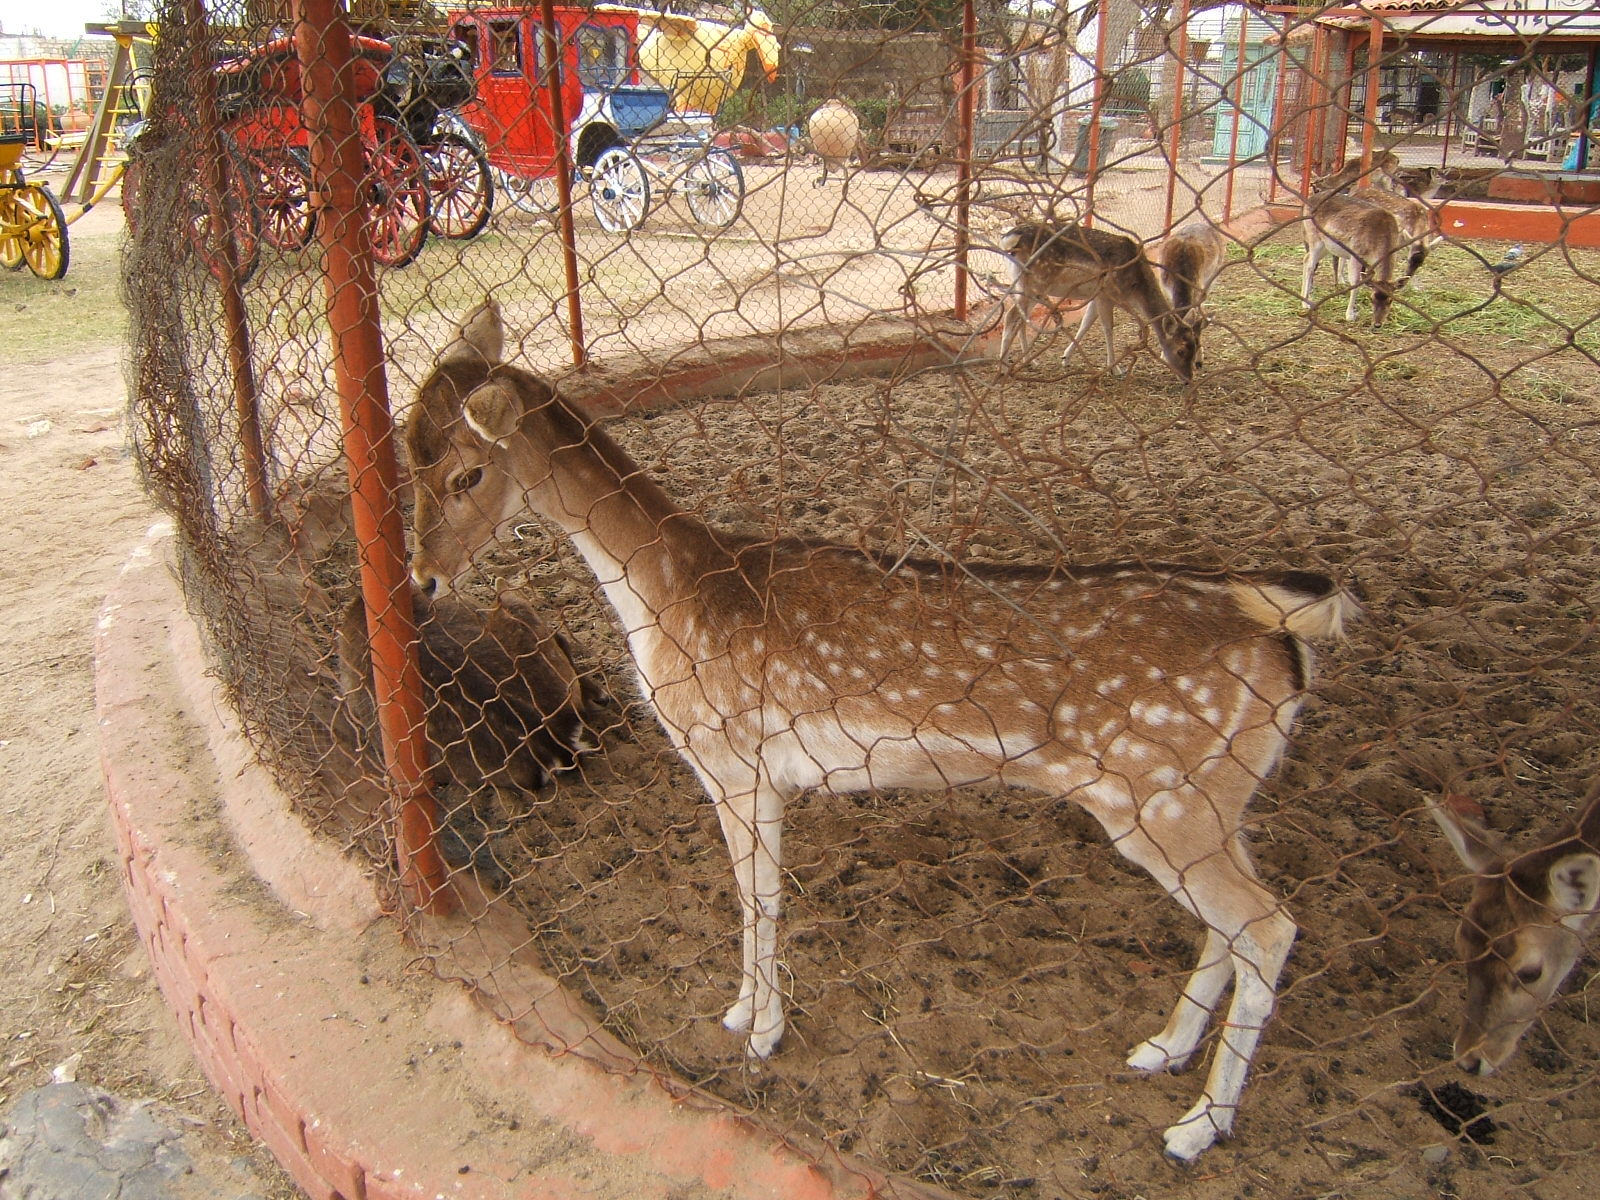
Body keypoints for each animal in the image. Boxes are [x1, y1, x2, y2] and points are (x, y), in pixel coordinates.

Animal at [406, 299, 1359, 1162]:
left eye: (465, 475)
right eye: (403, 459)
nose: (420, 579)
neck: (663, 597)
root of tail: (1283, 633)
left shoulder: (732, 758)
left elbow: (757, 897)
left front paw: (759, 1031)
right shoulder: (758, 773)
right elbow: (760, 895)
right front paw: (745, 1014)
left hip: (1161, 800)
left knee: (1270, 927)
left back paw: (1197, 1128)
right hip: (1213, 800)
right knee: (1236, 926)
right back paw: (1161, 1051)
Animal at [996, 221, 1199, 383]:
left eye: (1195, 347)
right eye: (1181, 350)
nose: (1188, 379)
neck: (1135, 289)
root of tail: (1009, 239)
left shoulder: (1096, 297)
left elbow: (1086, 323)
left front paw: (1065, 358)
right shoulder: (1106, 294)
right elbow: (1108, 328)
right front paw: (1115, 369)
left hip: (1025, 286)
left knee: (1021, 320)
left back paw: (1031, 362)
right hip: (1036, 283)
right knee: (1010, 316)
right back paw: (1004, 367)